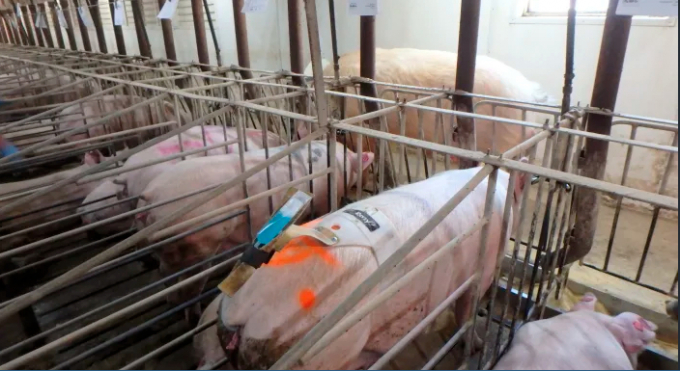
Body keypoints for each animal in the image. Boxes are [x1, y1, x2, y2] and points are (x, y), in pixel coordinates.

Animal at [135, 141, 374, 324]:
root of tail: (151, 195)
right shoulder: (324, 199)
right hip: (197, 243)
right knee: (189, 286)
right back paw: (192, 315)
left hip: (169, 249)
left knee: (165, 273)